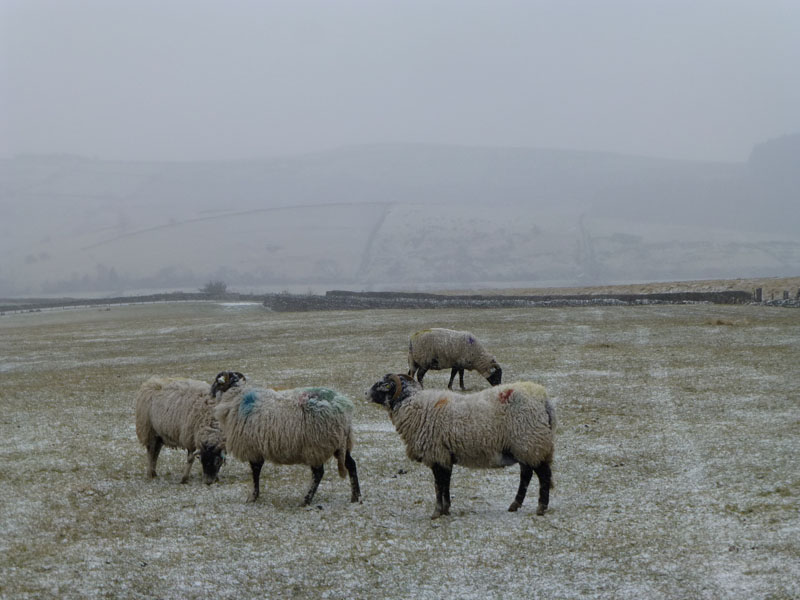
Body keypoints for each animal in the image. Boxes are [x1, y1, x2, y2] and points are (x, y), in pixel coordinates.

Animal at [212, 370, 362, 506]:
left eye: (217, 383)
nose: (211, 393)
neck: (237, 397)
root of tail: (344, 408)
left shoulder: (253, 448)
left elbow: (255, 472)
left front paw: (253, 496)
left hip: (316, 445)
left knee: (318, 473)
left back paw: (306, 500)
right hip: (340, 443)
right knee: (351, 464)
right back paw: (356, 497)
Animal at [368, 372, 556, 516]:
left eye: (383, 385)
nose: (365, 393)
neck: (414, 405)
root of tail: (543, 398)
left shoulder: (436, 453)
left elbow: (438, 484)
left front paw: (437, 512)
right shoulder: (445, 455)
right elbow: (446, 483)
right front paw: (446, 509)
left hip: (531, 443)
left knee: (543, 475)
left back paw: (541, 508)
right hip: (527, 447)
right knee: (527, 474)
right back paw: (515, 505)